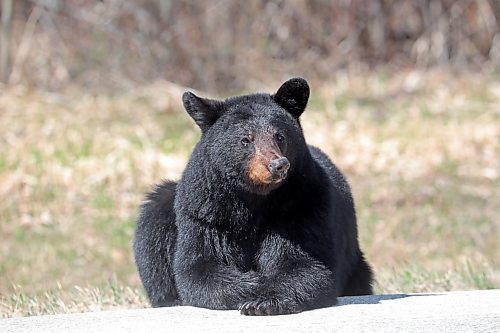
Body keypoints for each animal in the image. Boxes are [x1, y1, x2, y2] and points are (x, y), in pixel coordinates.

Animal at [133, 78, 372, 314]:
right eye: (246, 140)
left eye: (279, 136)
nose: (278, 165)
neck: (253, 199)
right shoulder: (205, 213)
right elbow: (199, 268)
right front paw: (252, 286)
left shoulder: (301, 207)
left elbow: (307, 265)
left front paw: (265, 301)